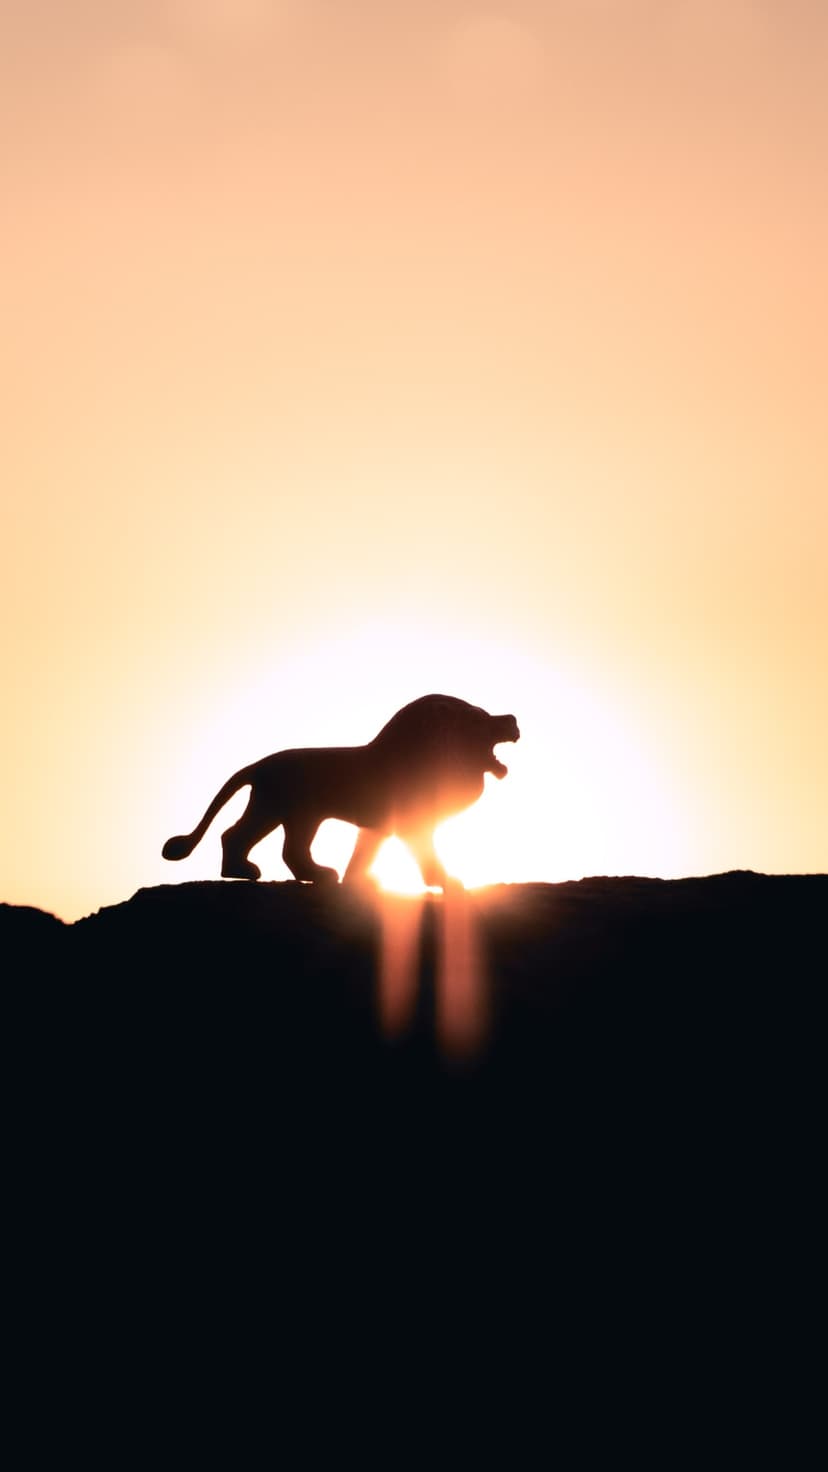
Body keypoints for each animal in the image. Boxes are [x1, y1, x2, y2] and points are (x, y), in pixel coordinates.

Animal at [162, 694, 519, 890]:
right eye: (479, 718)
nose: (513, 718)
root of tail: (258, 764)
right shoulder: (411, 824)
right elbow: (426, 854)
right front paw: (445, 881)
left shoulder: (378, 827)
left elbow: (363, 853)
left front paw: (357, 881)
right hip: (287, 810)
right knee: (265, 843)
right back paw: (268, 873)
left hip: (284, 812)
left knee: (263, 842)